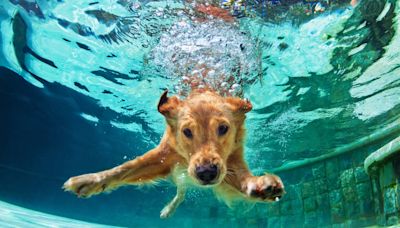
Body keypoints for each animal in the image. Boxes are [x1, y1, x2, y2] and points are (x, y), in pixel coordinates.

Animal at [64, 88, 284, 217]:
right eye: (187, 131)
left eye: (223, 128)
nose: (206, 173)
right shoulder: (163, 156)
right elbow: (125, 168)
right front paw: (91, 180)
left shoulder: (231, 162)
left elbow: (244, 178)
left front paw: (261, 185)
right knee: (181, 191)